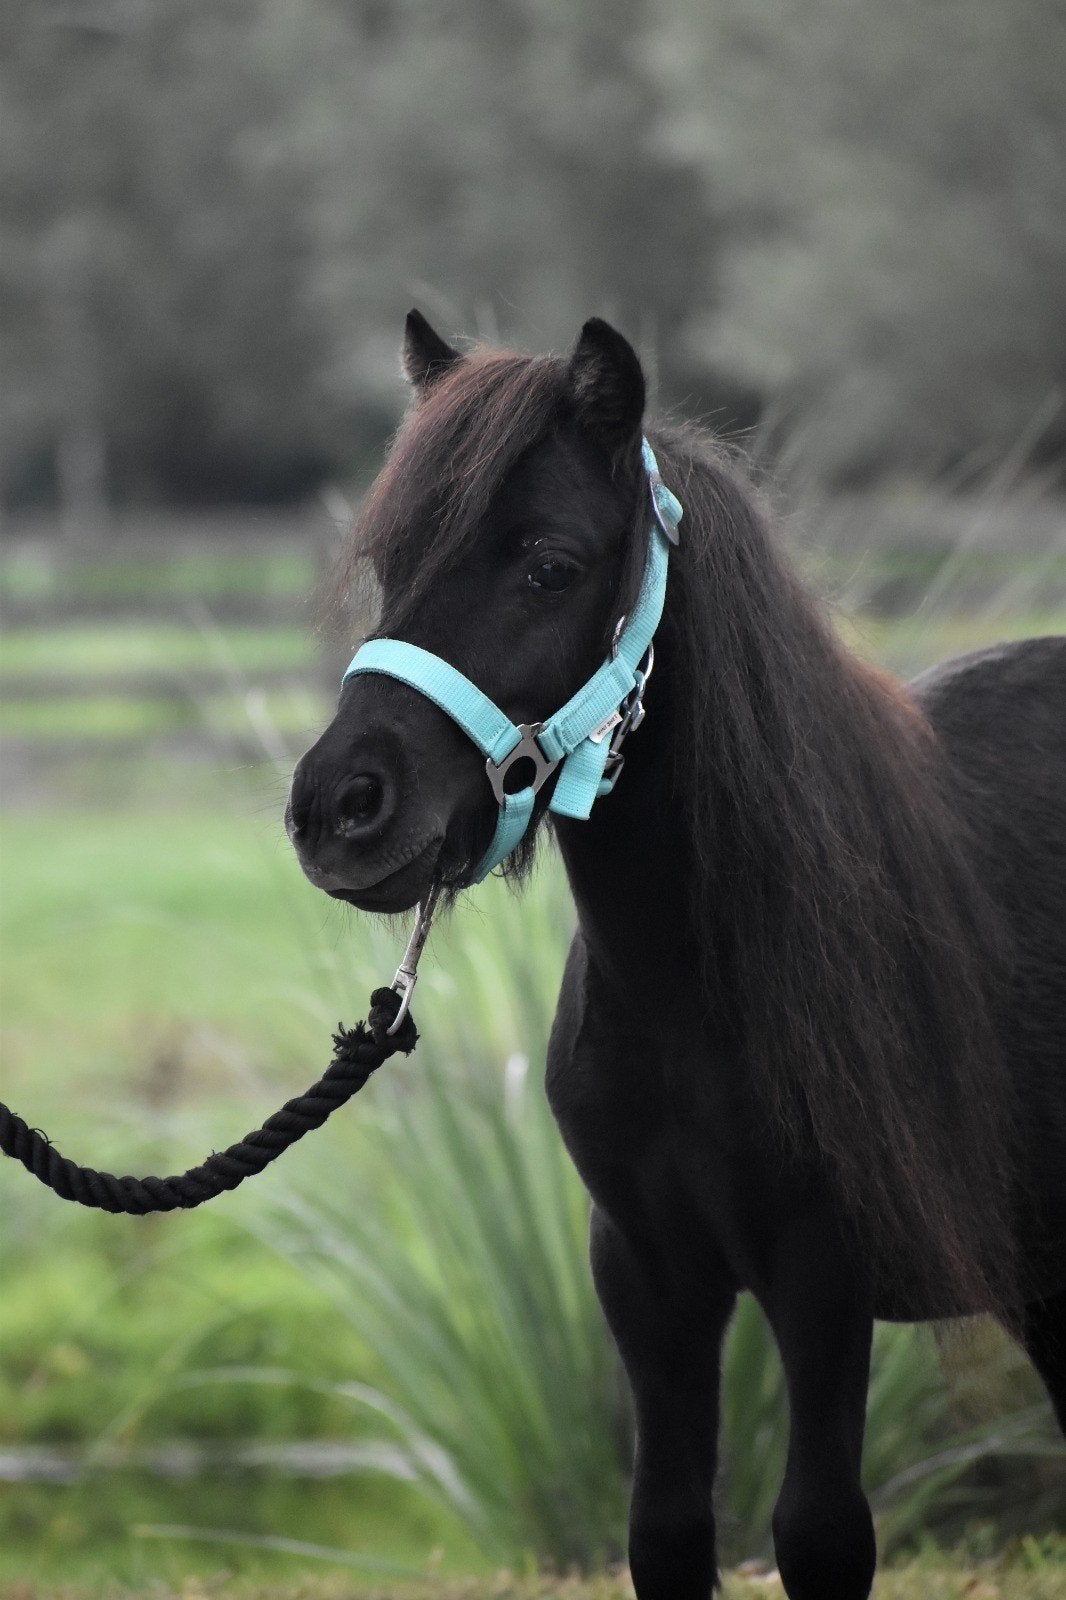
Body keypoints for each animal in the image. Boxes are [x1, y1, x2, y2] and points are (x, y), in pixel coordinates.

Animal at [286, 312, 1066, 1600]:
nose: (339, 810)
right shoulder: (647, 1274)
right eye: (394, 565)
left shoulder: (821, 1270)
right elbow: (663, 1527)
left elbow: (818, 1529)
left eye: (547, 565)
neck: (696, 989)